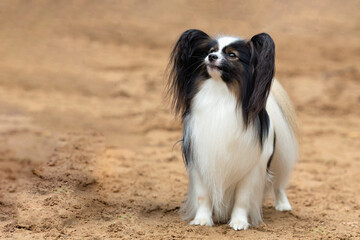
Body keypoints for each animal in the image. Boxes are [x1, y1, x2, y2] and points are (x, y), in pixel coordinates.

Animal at [167, 29, 300, 230]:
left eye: (232, 55)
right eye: (211, 51)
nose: (211, 57)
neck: (221, 96)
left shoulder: (251, 167)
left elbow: (242, 199)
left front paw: (239, 222)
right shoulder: (200, 159)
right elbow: (202, 196)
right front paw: (202, 220)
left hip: (279, 158)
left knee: (278, 183)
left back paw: (283, 205)